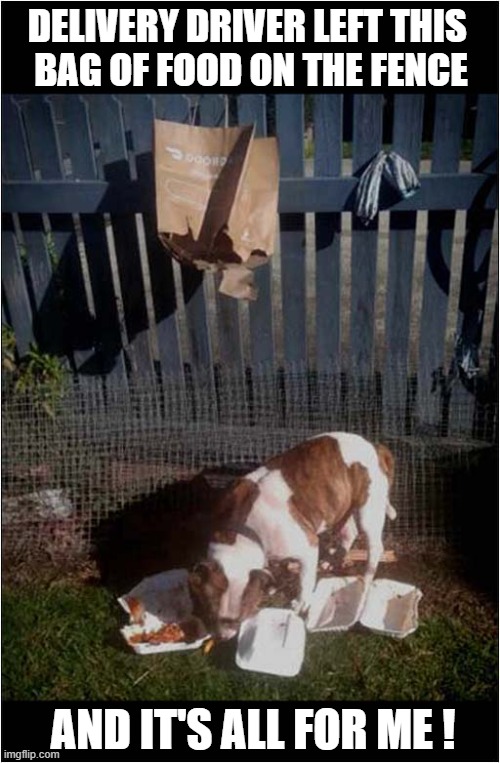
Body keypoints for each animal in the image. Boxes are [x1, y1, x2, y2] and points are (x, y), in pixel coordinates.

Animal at [189, 432, 396, 640]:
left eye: (239, 618)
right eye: (208, 612)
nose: (223, 636)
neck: (242, 530)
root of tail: (374, 446)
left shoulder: (309, 547)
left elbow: (305, 580)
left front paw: (301, 603)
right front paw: (272, 582)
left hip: (369, 510)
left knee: (374, 547)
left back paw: (367, 578)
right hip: (342, 507)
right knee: (349, 532)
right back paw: (332, 560)